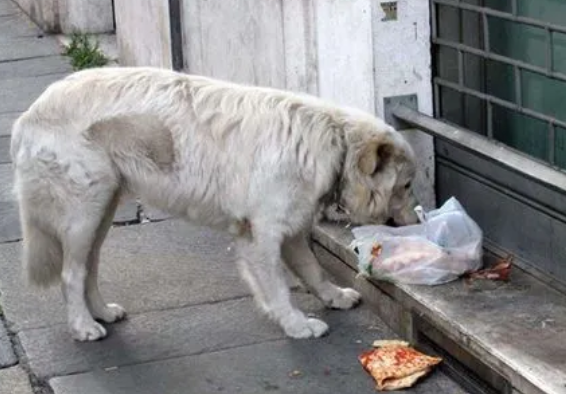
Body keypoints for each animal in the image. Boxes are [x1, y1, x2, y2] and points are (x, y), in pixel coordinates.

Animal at [7, 67, 418, 342]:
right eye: (407, 185)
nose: (414, 223)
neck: (333, 143)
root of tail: (28, 114)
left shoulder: (290, 230)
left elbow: (313, 271)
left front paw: (334, 298)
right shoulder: (261, 236)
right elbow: (279, 287)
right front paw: (296, 324)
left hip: (101, 212)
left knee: (88, 269)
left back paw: (102, 313)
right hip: (84, 213)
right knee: (71, 274)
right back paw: (82, 327)